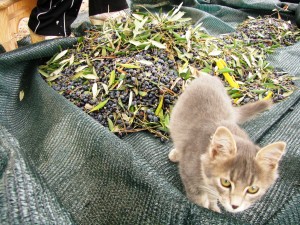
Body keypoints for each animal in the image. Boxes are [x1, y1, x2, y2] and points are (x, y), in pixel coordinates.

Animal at [169, 72, 286, 213]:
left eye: (253, 189)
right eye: (225, 182)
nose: (235, 206)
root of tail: (208, 76)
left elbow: (213, 197)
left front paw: (213, 207)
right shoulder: (189, 175)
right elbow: (199, 199)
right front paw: (205, 207)